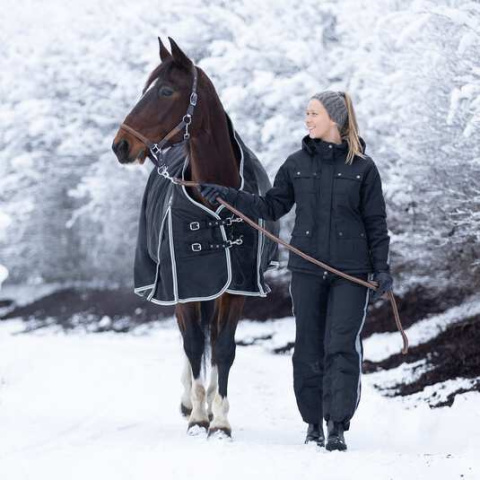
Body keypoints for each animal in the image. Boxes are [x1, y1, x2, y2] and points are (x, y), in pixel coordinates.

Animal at [110, 37, 272, 438]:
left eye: (166, 91)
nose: (120, 145)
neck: (216, 195)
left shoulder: (236, 286)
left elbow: (223, 346)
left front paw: (221, 419)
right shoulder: (184, 285)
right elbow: (194, 343)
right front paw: (198, 415)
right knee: (191, 341)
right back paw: (190, 401)